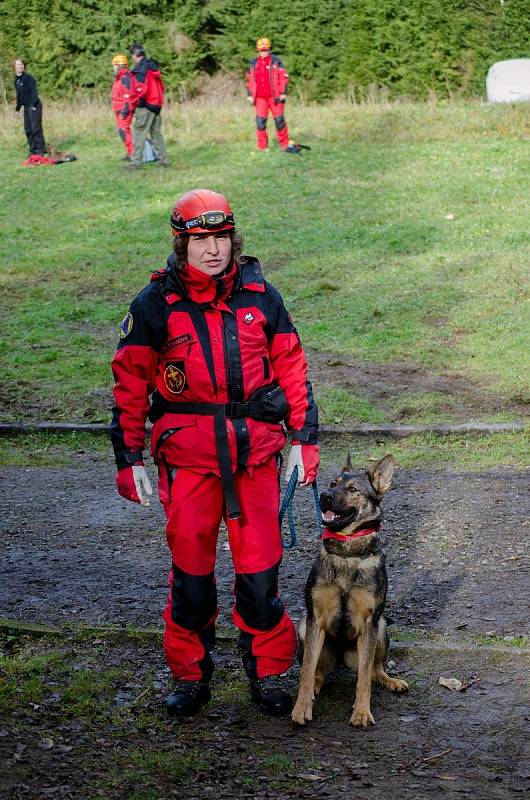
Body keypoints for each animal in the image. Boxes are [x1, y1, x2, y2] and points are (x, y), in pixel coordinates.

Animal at [290, 456, 406, 724]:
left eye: (352, 489)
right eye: (333, 483)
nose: (324, 495)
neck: (348, 553)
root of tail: (342, 660)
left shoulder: (369, 623)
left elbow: (364, 678)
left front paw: (362, 712)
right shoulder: (315, 619)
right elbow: (306, 673)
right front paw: (301, 708)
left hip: (380, 629)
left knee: (374, 671)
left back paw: (391, 681)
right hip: (304, 628)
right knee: (317, 673)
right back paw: (314, 690)